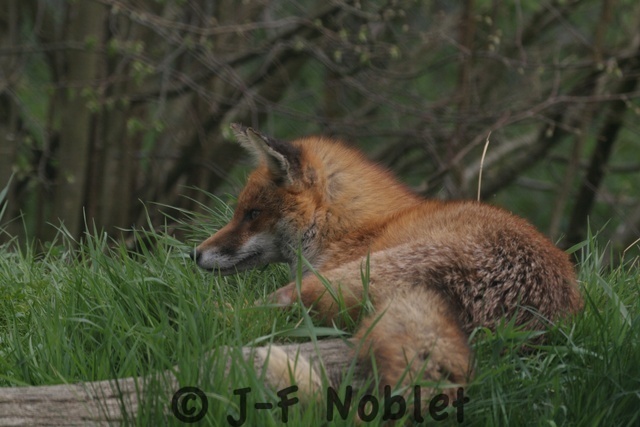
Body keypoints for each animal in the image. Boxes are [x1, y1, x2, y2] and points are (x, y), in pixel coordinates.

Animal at [193, 123, 583, 404]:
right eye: (241, 212)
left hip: (326, 283)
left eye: (252, 214)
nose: (194, 254)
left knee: (245, 313)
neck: (351, 228)